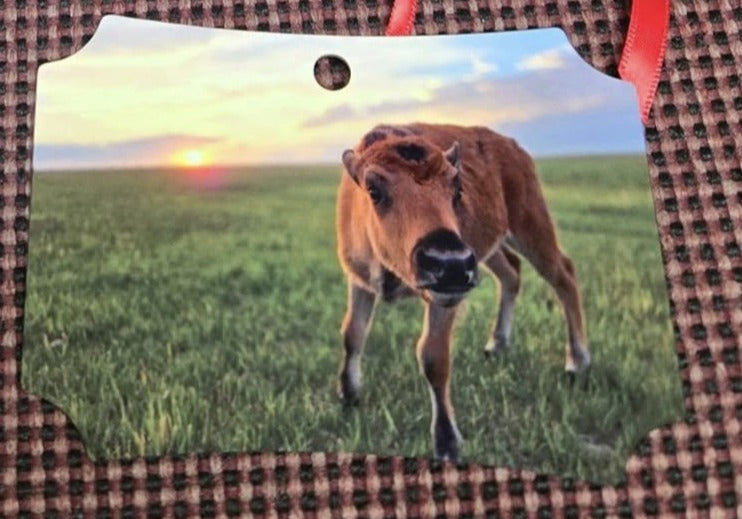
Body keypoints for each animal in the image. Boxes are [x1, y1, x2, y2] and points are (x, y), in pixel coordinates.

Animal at [335, 123, 591, 461]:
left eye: (457, 189)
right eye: (374, 190)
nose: (450, 262)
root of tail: (514, 148)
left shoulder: (446, 295)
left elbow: (433, 357)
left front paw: (447, 444)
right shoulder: (360, 281)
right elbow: (353, 334)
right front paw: (348, 396)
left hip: (528, 226)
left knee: (563, 275)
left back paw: (577, 362)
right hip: (486, 248)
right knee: (511, 272)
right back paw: (496, 345)